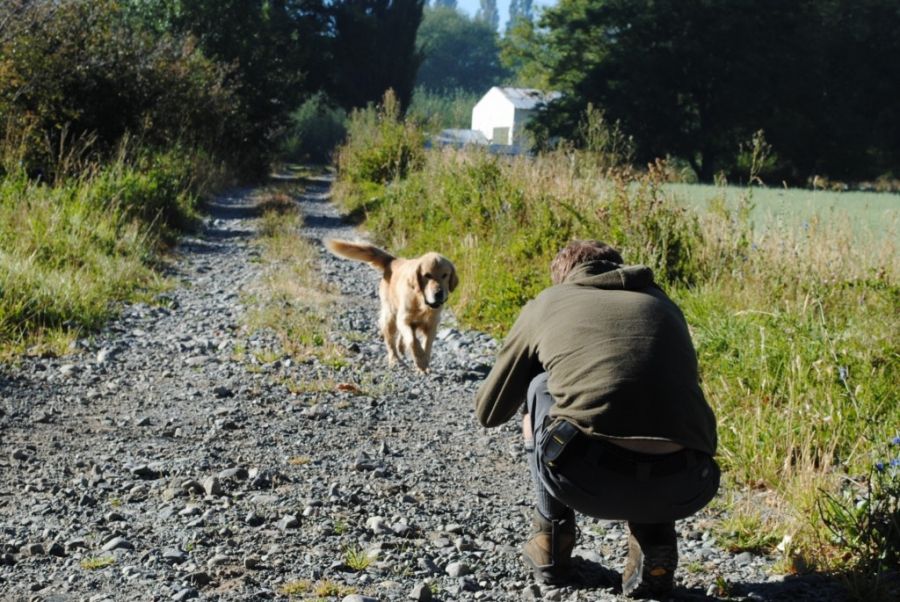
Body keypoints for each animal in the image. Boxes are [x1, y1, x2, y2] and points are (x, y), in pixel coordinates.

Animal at [326, 238, 458, 370]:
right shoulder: (404, 319)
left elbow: (427, 344)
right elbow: (413, 341)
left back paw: (401, 347)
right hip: (390, 316)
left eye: (445, 275)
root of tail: (393, 260)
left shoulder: (432, 324)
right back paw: (394, 359)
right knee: (390, 341)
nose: (439, 293)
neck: (421, 302)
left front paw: (423, 362)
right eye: (427, 275)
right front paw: (420, 361)